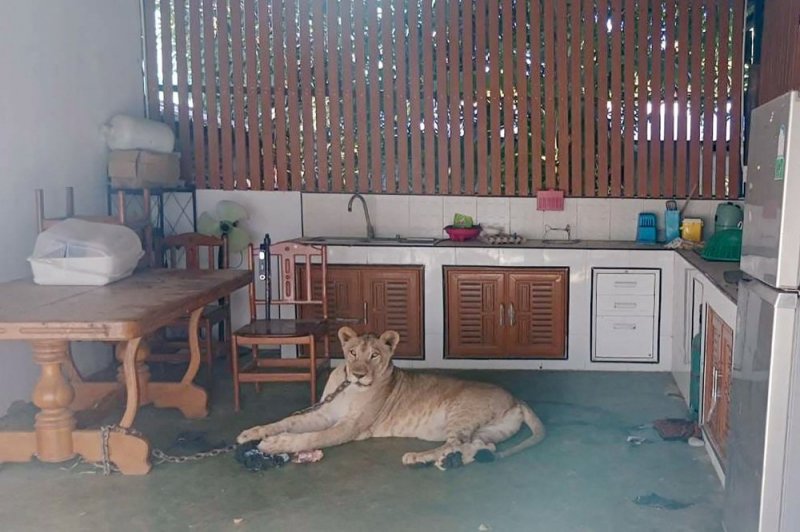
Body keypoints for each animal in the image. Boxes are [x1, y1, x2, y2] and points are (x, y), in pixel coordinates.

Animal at [236, 326, 545, 469]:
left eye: (374, 355)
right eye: (352, 352)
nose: (359, 374)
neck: (349, 387)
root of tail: (517, 398)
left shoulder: (351, 427)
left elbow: (312, 437)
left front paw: (274, 445)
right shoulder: (324, 413)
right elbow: (288, 421)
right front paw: (252, 433)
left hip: (461, 413)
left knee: (454, 443)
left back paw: (418, 458)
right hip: (489, 430)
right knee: (481, 446)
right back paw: (449, 462)